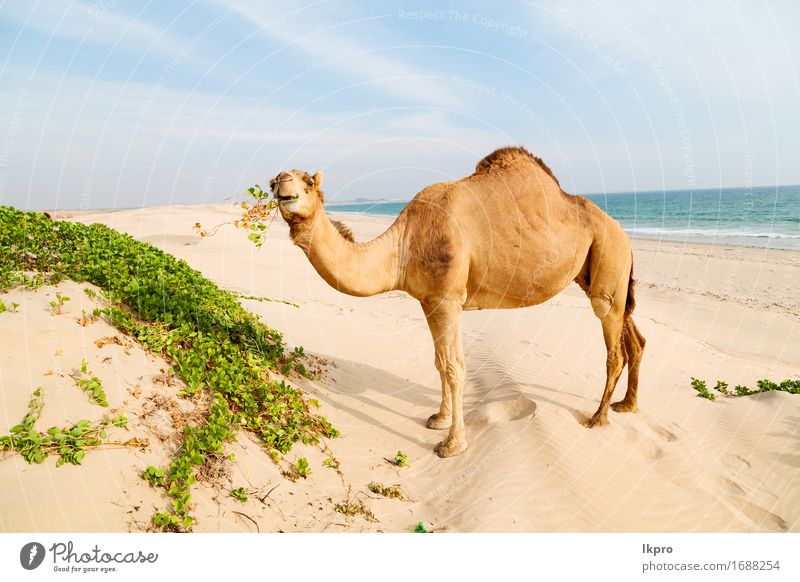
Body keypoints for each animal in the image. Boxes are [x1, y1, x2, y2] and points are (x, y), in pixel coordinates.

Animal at [272, 145, 648, 456]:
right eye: (276, 180)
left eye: (308, 181)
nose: (281, 182)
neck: (403, 245)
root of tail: (623, 233)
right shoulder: (428, 300)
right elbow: (440, 362)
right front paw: (439, 419)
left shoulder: (447, 298)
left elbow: (455, 368)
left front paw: (452, 444)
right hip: (601, 274)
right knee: (635, 338)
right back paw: (627, 405)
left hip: (608, 258)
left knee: (614, 347)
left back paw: (597, 418)